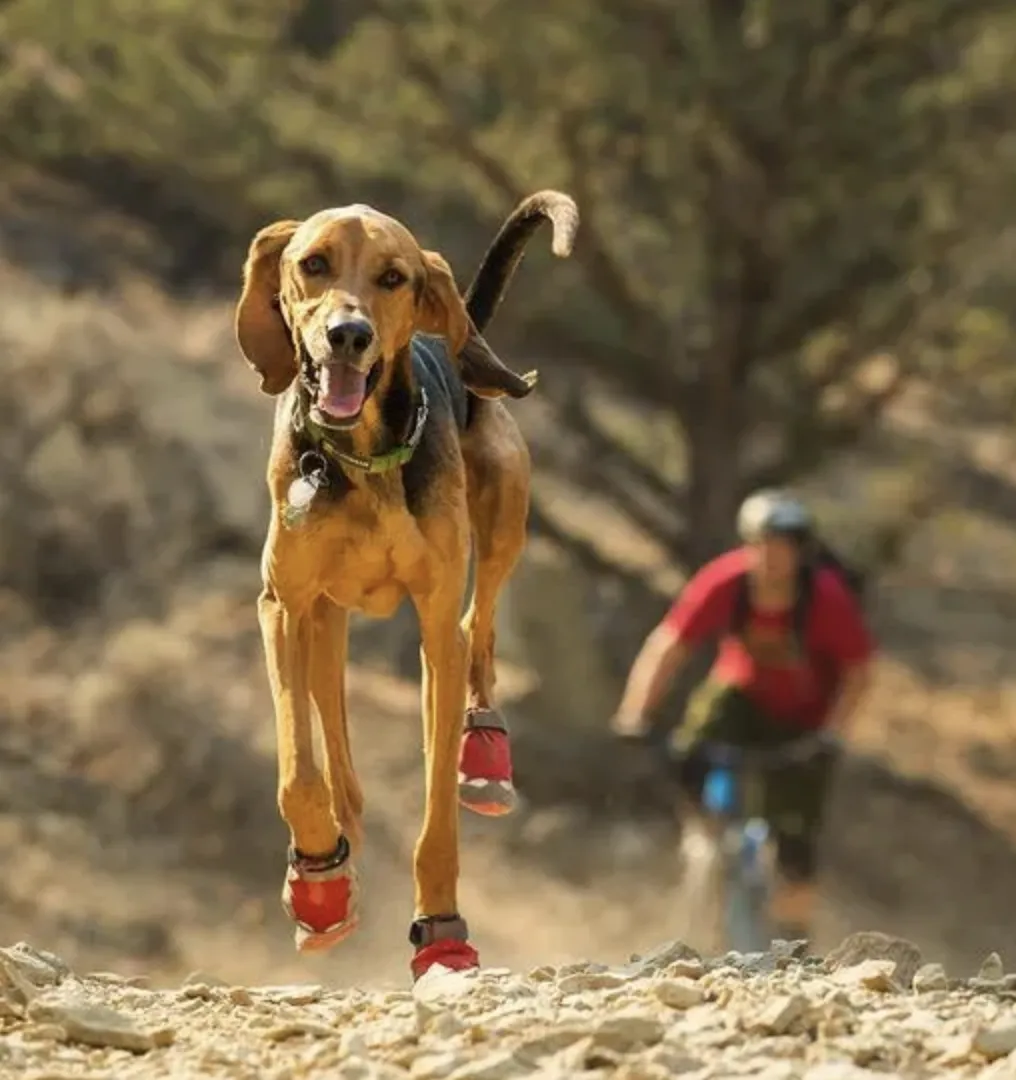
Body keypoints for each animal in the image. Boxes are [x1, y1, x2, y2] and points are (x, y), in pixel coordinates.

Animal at [233, 192, 574, 980]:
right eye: (313, 263)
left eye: (394, 277)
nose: (348, 336)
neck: (359, 459)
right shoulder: (282, 607)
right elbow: (300, 774)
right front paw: (319, 881)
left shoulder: (434, 625)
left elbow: (436, 817)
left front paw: (441, 931)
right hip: (326, 623)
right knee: (340, 757)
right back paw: (335, 855)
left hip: (504, 520)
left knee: (480, 630)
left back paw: (484, 752)